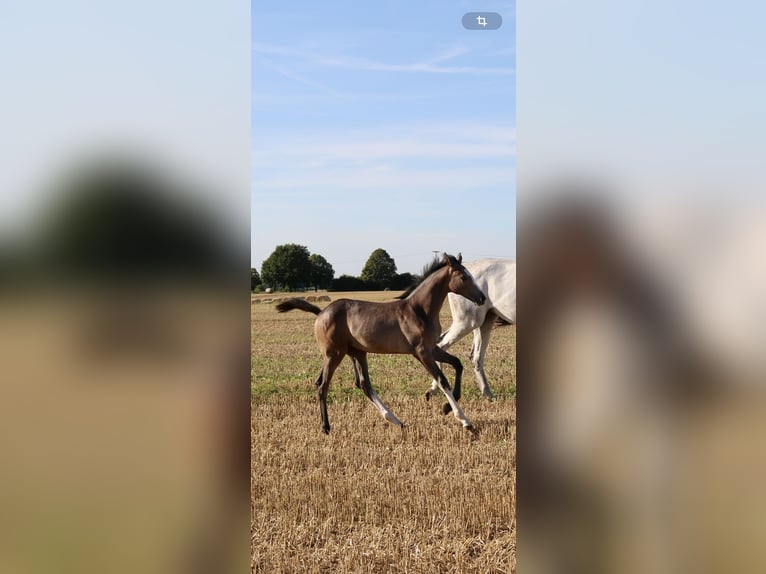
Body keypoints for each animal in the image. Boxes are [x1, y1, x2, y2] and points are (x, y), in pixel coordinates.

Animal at [275, 253, 486, 434]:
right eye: (464, 277)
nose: (482, 298)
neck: (419, 310)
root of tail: (320, 312)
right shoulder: (421, 352)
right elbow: (443, 380)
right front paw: (464, 420)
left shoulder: (432, 348)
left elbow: (457, 364)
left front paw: (446, 407)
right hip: (334, 353)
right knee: (323, 385)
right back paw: (326, 427)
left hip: (356, 352)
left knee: (362, 384)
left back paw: (396, 420)